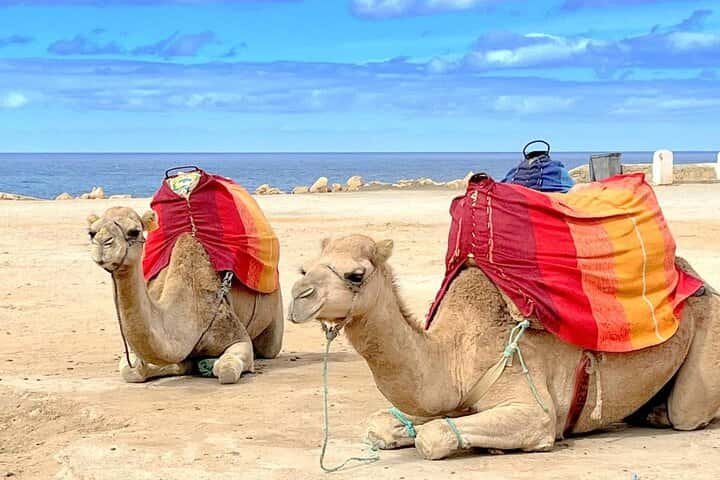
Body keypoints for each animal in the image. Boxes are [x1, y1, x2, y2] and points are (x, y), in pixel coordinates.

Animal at [88, 207, 283, 384]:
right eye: (91, 233)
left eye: (134, 231)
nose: (102, 243)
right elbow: (131, 371)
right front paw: (186, 364)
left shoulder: (237, 336)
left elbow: (226, 369)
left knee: (268, 348)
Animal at [289, 235, 720, 460]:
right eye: (304, 267)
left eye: (355, 274)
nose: (297, 298)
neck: (453, 352)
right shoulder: (455, 398)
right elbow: (382, 423)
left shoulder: (533, 406)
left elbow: (434, 437)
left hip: (709, 330)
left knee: (688, 411)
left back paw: (661, 415)